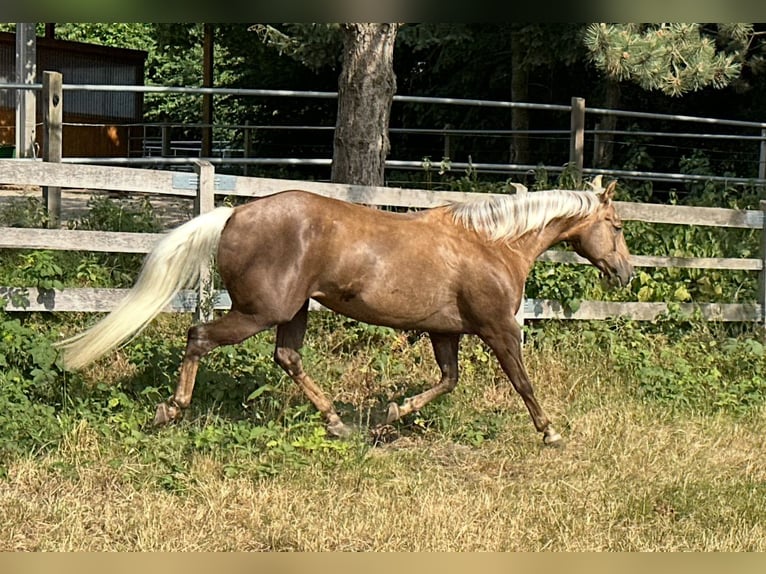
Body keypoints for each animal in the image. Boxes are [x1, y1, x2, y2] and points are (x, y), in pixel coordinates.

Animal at [57, 180, 632, 446]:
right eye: (618, 225)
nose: (624, 273)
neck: (491, 244)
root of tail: (234, 213)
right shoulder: (498, 329)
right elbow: (522, 381)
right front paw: (550, 432)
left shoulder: (443, 332)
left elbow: (447, 381)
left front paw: (389, 416)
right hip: (260, 311)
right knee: (200, 335)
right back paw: (170, 410)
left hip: (292, 311)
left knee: (287, 358)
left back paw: (337, 423)